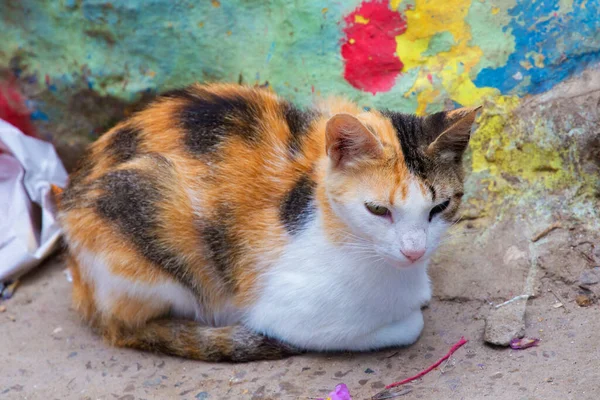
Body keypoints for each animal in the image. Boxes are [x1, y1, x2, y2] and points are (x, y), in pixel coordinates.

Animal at [56, 83, 478, 362]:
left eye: (439, 207)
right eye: (377, 210)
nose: (414, 251)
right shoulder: (289, 316)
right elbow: (408, 325)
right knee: (130, 329)